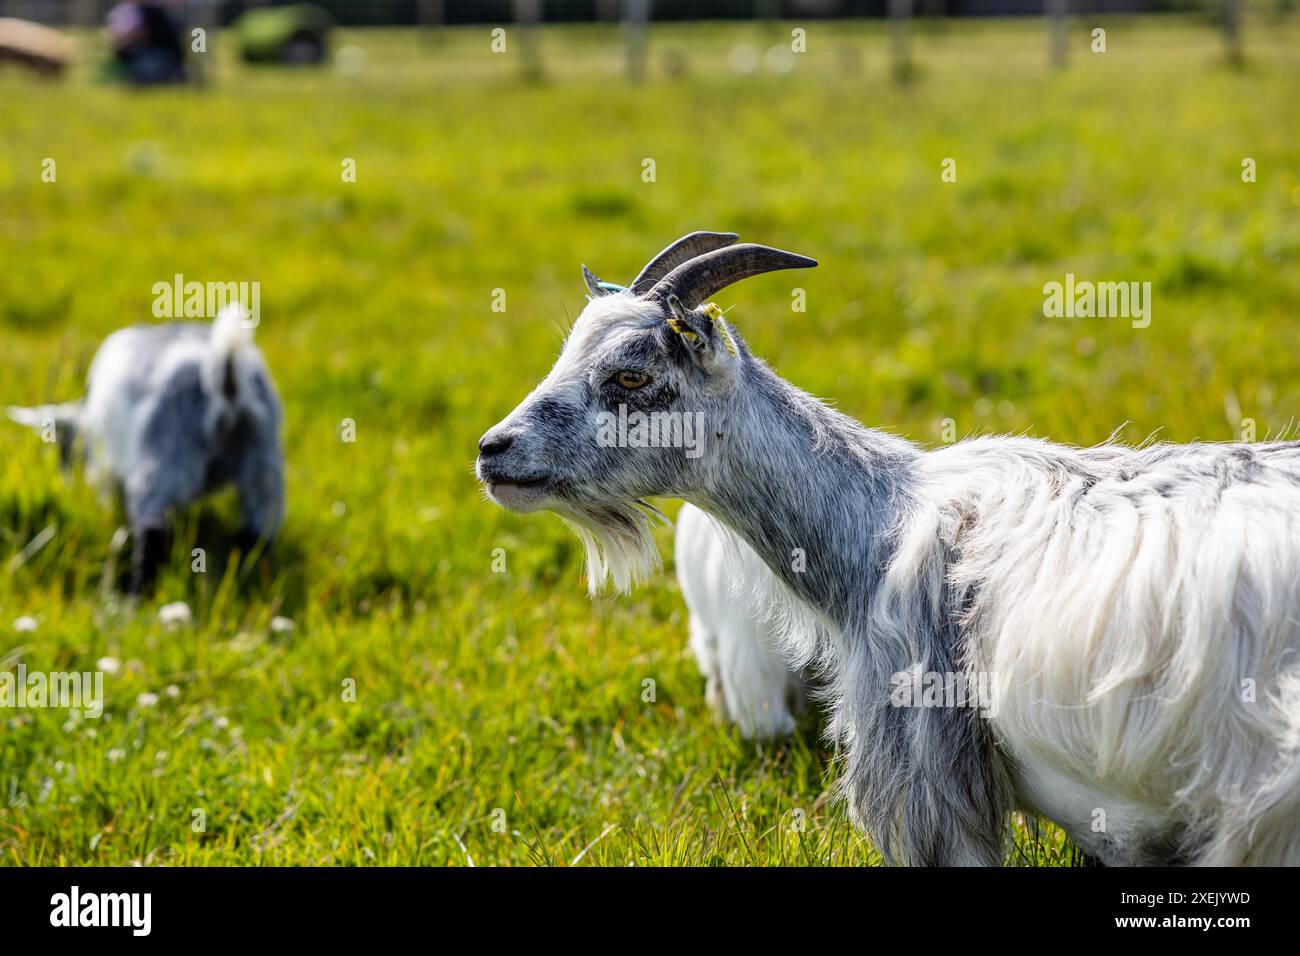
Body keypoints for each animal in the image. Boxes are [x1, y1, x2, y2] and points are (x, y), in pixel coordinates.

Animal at [8, 304, 284, 593]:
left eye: (63, 453)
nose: (68, 482)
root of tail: (224, 374)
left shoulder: (104, 463)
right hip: (261, 458)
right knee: (259, 530)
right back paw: (249, 579)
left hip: (166, 456)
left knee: (153, 530)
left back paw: (133, 594)